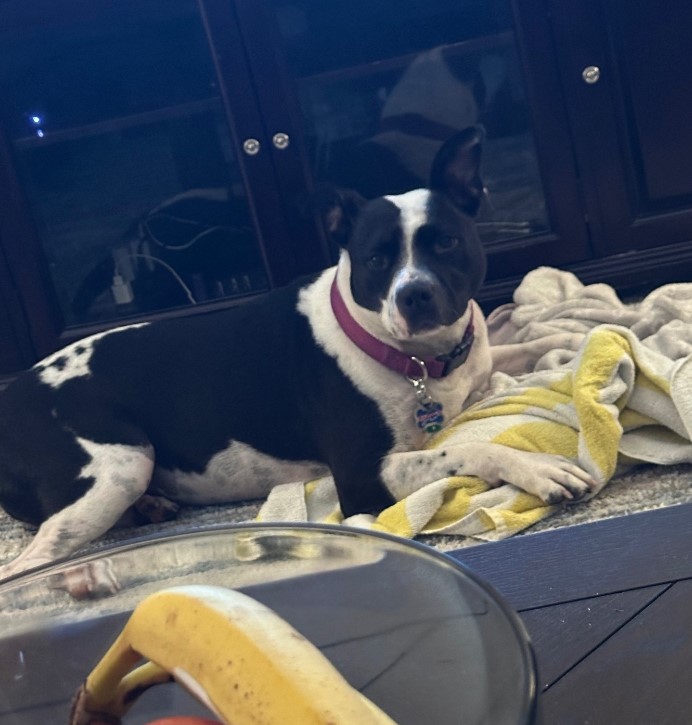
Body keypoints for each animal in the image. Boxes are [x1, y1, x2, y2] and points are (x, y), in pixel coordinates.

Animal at [0, 127, 596, 584]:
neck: (418, 362)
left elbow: (533, 346)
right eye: (376, 258)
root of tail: (15, 391)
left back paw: (150, 508)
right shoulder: (361, 478)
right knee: (29, 563)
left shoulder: (477, 364)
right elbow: (467, 448)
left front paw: (582, 339)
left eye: (445, 241)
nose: (414, 294)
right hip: (118, 466)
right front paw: (537, 467)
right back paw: (83, 574)